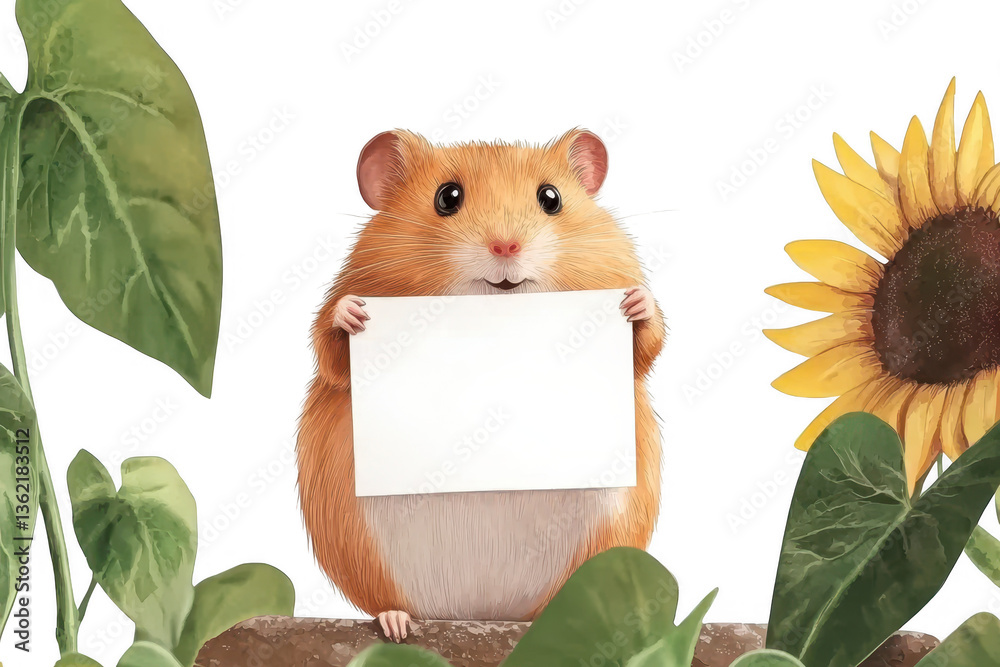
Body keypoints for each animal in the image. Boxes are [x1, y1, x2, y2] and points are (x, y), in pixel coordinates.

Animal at [296, 129, 664, 642]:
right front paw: (353, 314)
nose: (505, 246)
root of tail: (487, 611)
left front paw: (635, 303)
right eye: (447, 198)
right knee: (387, 604)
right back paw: (395, 623)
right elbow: (329, 343)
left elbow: (648, 344)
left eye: (551, 198)